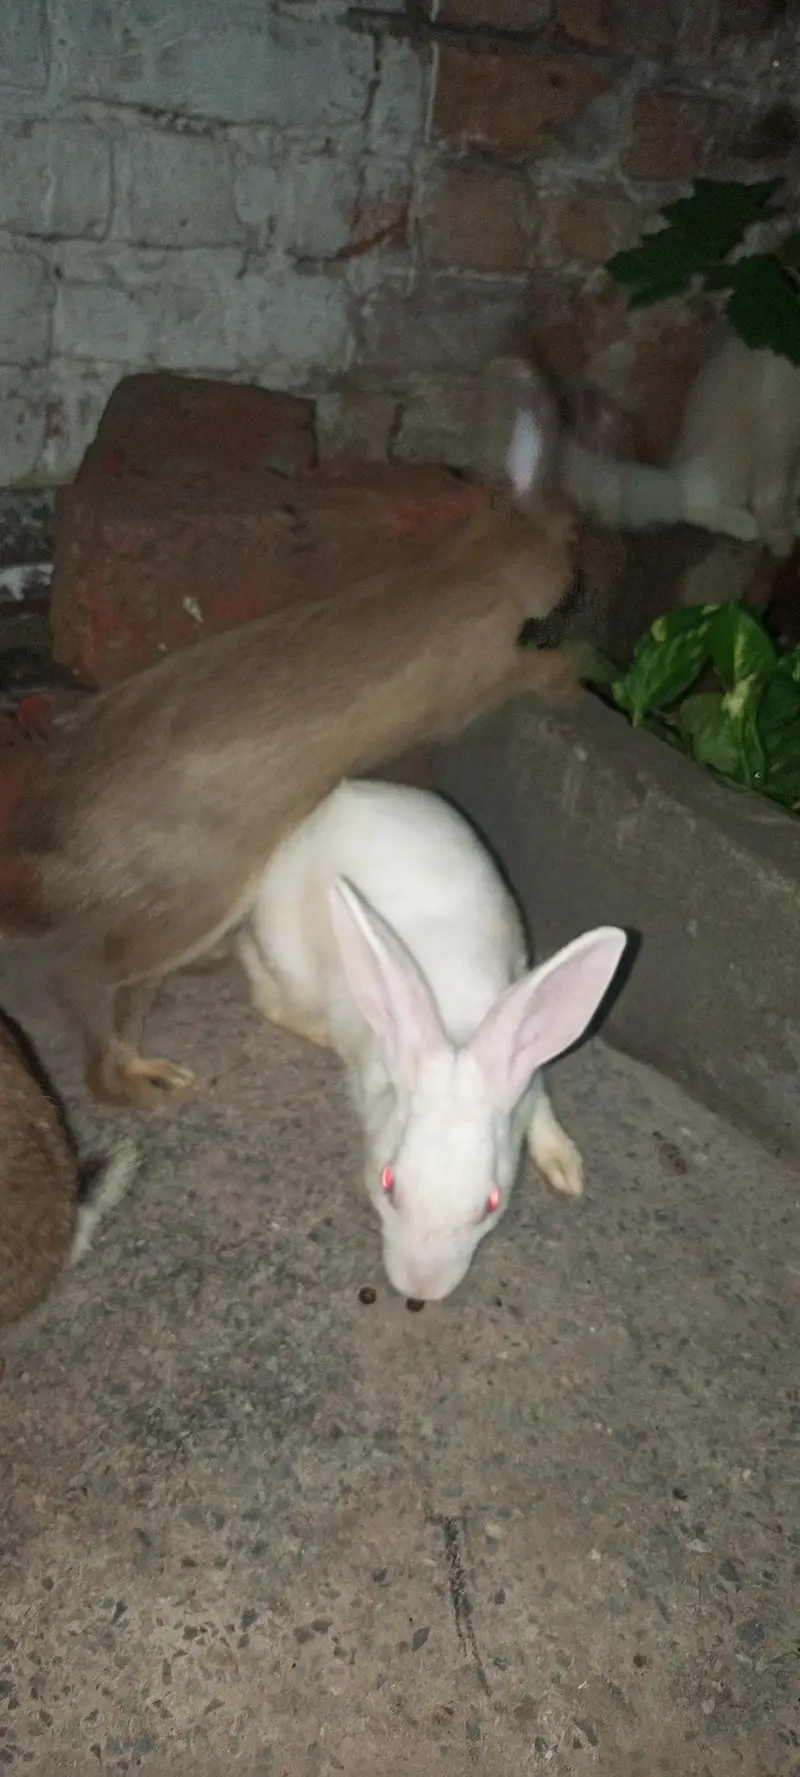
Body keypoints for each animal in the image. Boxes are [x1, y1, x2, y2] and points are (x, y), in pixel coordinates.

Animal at [0, 355, 584, 1115]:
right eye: (579, 530)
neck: (483, 566)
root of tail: (54, 838)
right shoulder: (490, 673)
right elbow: (532, 673)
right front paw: (575, 675)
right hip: (200, 897)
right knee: (93, 984)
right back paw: (145, 1079)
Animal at [237, 778, 626, 1302]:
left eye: (491, 1203)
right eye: (388, 1184)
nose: (419, 1292)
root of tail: (342, 794)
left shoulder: (524, 1073)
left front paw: (566, 1167)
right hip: (290, 964)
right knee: (263, 988)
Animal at [564, 335, 800, 553]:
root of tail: (674, 475)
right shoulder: (776, 423)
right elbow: (771, 496)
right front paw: (779, 536)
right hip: (735, 451)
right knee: (692, 502)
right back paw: (743, 524)